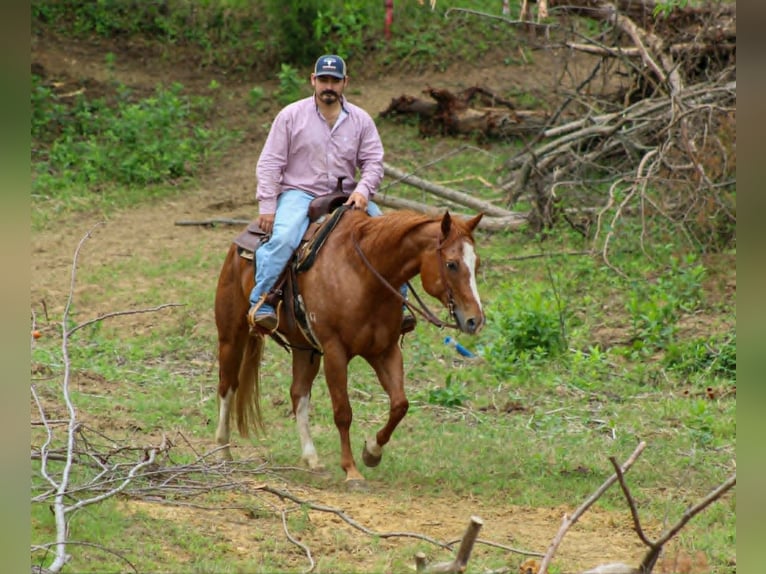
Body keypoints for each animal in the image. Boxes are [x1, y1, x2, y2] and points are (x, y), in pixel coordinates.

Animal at [213, 207, 485, 483]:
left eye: (476, 264)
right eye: (451, 264)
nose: (475, 320)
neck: (362, 276)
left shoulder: (385, 350)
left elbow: (400, 404)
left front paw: (372, 452)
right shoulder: (335, 351)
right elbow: (343, 412)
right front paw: (351, 469)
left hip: (306, 350)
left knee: (298, 393)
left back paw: (312, 459)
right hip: (231, 335)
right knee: (228, 385)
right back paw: (223, 450)